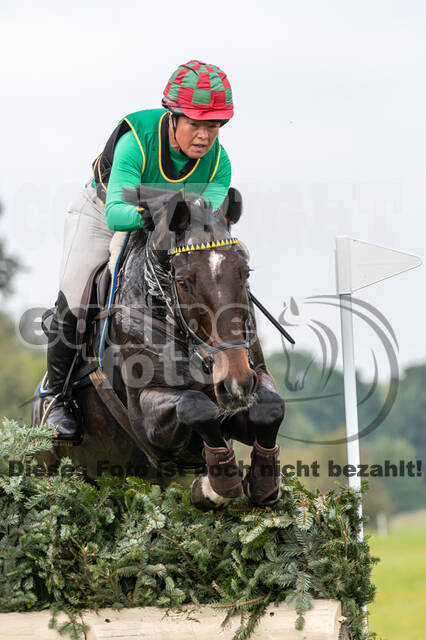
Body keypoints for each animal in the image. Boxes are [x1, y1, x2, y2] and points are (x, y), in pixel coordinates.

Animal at [33, 188, 286, 512]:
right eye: (183, 282)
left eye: (245, 273)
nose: (236, 384)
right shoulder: (146, 418)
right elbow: (196, 406)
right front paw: (213, 487)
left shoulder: (253, 381)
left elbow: (271, 407)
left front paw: (264, 483)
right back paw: (59, 417)